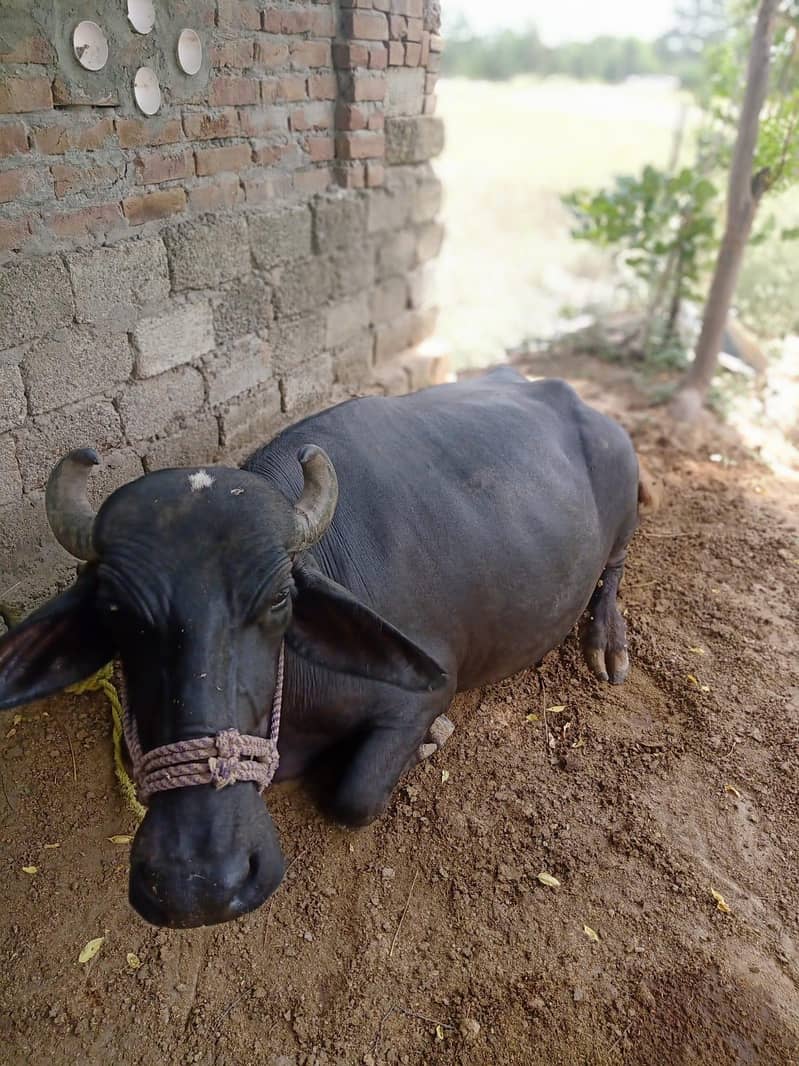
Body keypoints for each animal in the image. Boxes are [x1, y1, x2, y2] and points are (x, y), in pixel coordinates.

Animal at [0, 368, 646, 927]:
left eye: (279, 599)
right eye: (116, 612)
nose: (199, 883)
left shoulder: (424, 692)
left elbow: (354, 798)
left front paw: (432, 740)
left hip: (624, 504)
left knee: (612, 570)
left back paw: (607, 644)